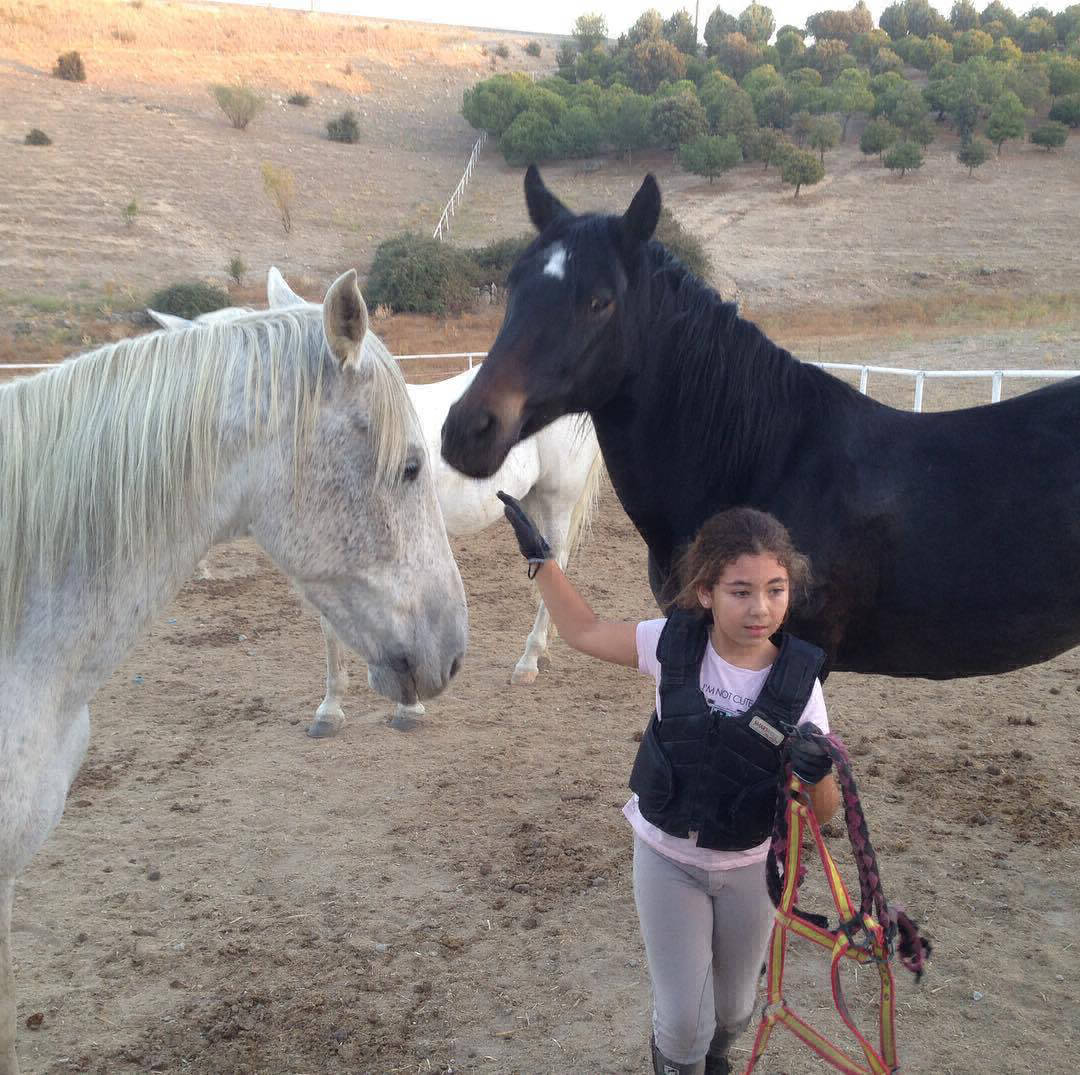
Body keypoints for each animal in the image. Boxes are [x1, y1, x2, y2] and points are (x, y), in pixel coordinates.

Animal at [151, 268, 604, 736]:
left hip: (557, 499)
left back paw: (528, 660)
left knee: (555, 559)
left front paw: (408, 708)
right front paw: (330, 708)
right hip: (526, 501)